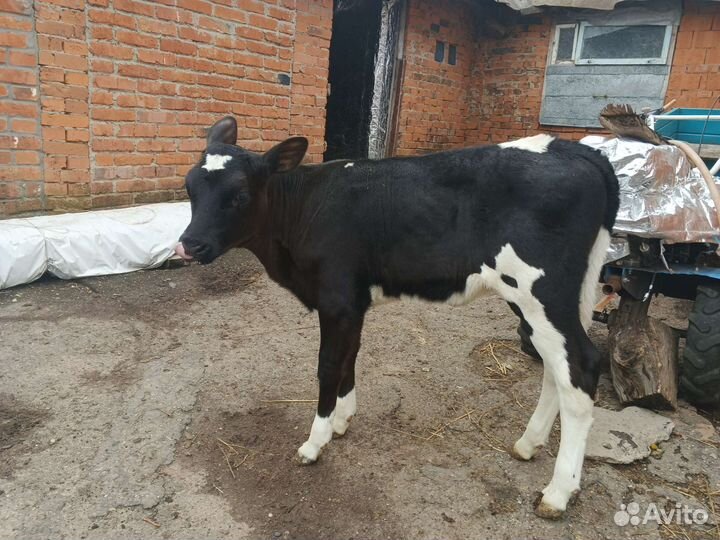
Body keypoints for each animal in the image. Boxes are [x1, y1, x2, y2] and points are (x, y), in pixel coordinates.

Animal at [175, 116, 620, 519]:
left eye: (239, 195)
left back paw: (557, 493)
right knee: (556, 368)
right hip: (552, 298)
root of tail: (574, 149)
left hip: (540, 292)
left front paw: (315, 442)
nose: (189, 245)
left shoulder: (336, 299)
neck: (302, 211)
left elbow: (328, 366)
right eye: (189, 187)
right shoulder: (353, 303)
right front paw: (342, 420)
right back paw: (528, 444)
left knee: (580, 367)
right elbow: (351, 357)